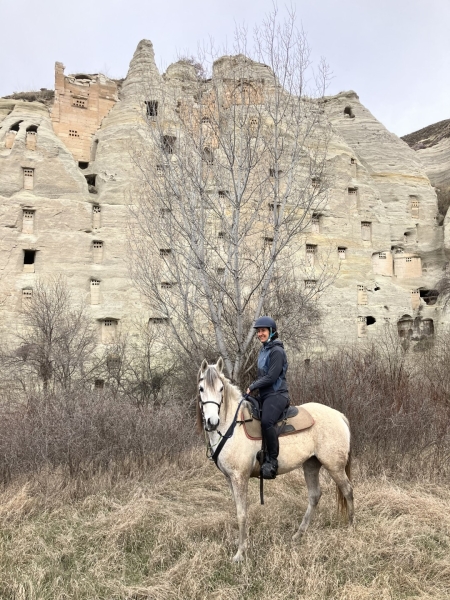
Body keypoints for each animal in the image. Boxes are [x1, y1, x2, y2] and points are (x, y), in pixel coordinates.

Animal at [197, 356, 356, 564]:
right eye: (201, 389)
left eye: (221, 388)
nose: (212, 422)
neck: (232, 426)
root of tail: (339, 415)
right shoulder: (229, 478)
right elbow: (238, 510)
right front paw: (240, 545)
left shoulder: (240, 477)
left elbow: (242, 513)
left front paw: (240, 553)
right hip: (311, 465)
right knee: (315, 496)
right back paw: (299, 534)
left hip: (334, 466)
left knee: (347, 491)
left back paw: (351, 526)